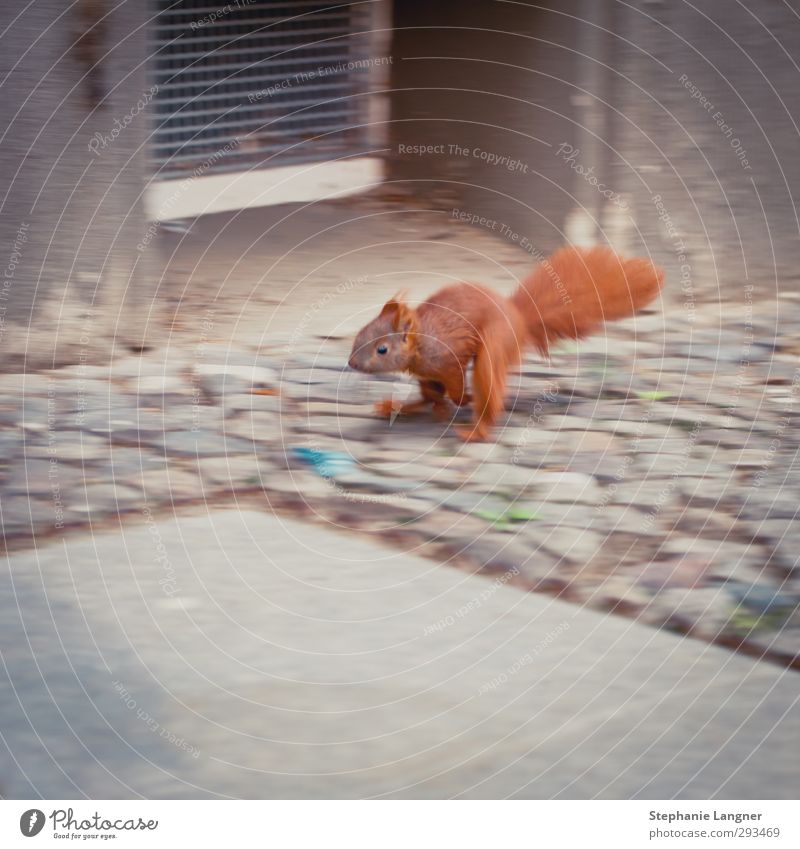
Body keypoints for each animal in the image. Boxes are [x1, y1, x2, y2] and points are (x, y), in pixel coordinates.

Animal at [346, 245, 664, 440]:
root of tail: (518, 317)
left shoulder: (448, 360)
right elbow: (432, 395)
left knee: (487, 383)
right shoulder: (426, 374)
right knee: (430, 396)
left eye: (382, 349)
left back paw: (476, 429)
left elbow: (456, 385)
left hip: (494, 346)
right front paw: (432, 406)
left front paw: (462, 399)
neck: (423, 343)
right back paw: (399, 407)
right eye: (359, 334)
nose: (351, 363)